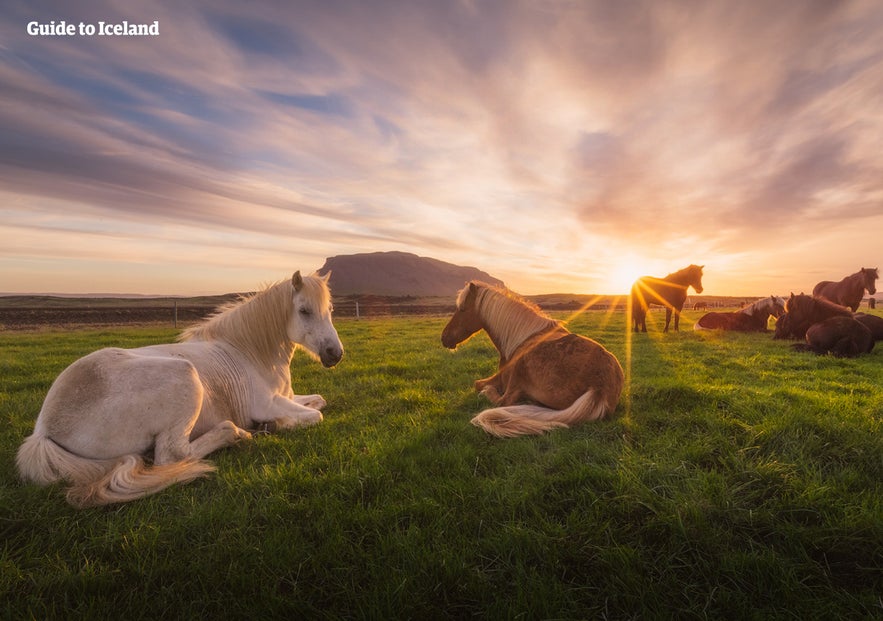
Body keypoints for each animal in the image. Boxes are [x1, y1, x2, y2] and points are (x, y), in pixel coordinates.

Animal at [16, 271, 344, 508]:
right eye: (304, 310)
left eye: (330, 309)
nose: (335, 354)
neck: (248, 352)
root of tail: (43, 429)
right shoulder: (267, 404)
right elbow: (315, 416)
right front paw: (275, 425)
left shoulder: (287, 398)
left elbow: (319, 401)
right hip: (185, 377)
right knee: (173, 455)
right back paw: (238, 433)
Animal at [441, 281, 623, 438]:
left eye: (462, 309)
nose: (444, 338)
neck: (523, 337)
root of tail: (600, 387)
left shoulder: (501, 378)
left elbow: (477, 384)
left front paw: (485, 389)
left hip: (520, 368)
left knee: (504, 401)